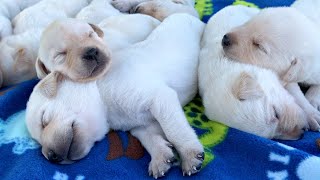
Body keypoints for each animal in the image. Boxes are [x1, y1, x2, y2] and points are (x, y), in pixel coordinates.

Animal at [25, 13, 205, 177]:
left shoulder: (160, 98)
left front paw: (189, 154)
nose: (51, 156)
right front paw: (160, 157)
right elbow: (149, 138)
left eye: (44, 120)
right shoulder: (142, 125)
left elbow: (175, 130)